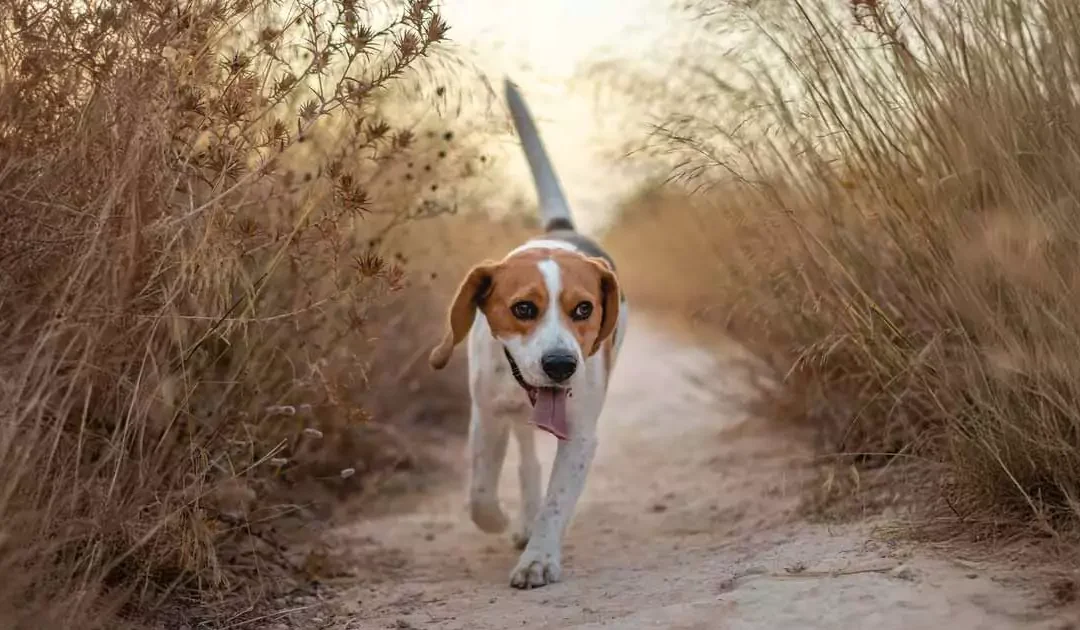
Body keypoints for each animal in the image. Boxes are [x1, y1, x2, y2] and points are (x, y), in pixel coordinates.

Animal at [429, 79, 630, 592]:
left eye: (584, 309)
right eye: (523, 309)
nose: (561, 366)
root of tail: (561, 230)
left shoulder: (580, 436)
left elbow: (557, 503)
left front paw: (538, 557)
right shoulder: (485, 415)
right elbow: (479, 492)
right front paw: (499, 521)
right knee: (526, 459)